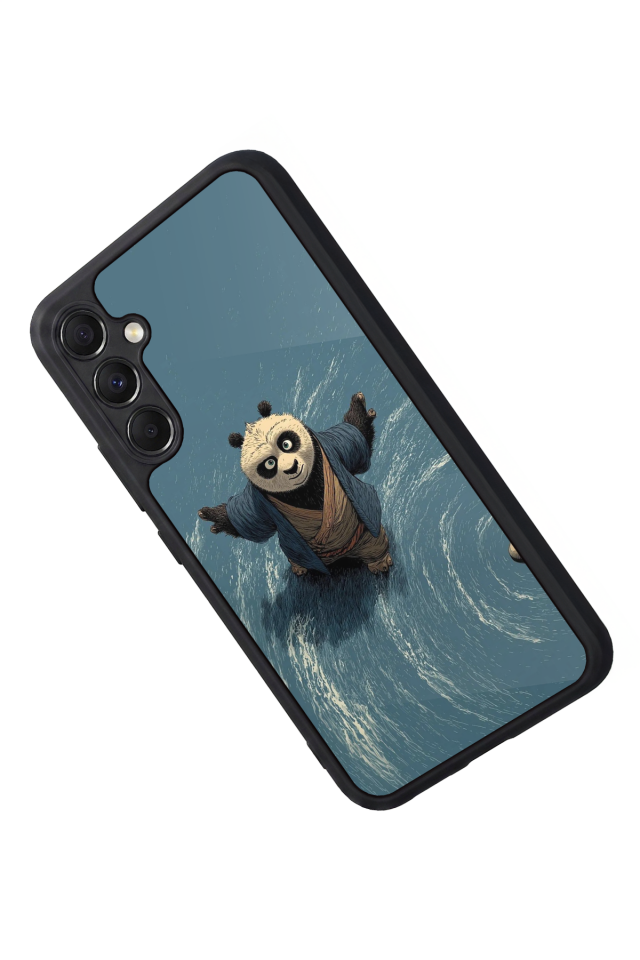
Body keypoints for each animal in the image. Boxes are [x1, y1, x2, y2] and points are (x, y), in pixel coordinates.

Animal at [198, 392, 393, 576]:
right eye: (270, 463)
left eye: (286, 444)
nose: (291, 468)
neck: (304, 487)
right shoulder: (258, 500)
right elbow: (251, 520)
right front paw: (214, 516)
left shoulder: (331, 447)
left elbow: (354, 437)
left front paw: (359, 408)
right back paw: (300, 567)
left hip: (365, 535)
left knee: (374, 544)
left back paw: (379, 562)